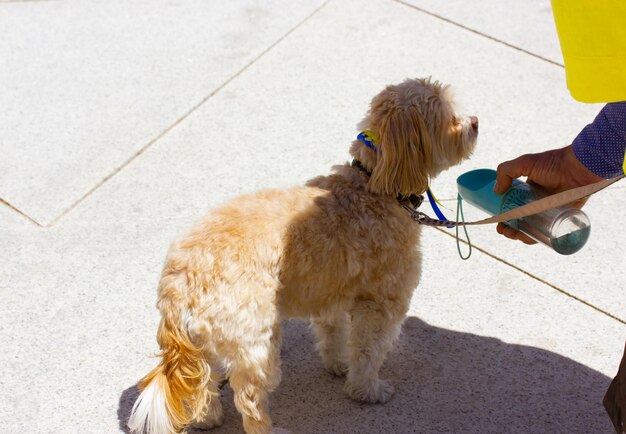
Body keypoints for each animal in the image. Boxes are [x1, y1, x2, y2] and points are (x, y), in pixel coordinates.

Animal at [128, 78, 478, 434]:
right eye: (449, 118)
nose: (475, 123)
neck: (374, 184)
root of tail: (179, 280)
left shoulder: (330, 293)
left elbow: (333, 334)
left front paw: (337, 364)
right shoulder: (382, 303)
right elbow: (368, 351)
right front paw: (367, 390)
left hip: (205, 342)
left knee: (205, 383)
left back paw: (207, 418)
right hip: (258, 343)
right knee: (249, 398)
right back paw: (267, 428)